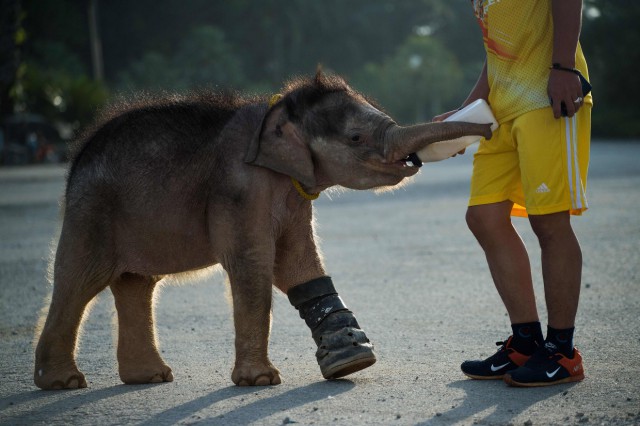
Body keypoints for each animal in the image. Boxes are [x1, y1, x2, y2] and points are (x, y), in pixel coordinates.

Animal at [33, 70, 490, 390]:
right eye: (357, 137)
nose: (488, 127)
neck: (279, 111)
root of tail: (76, 156)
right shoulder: (241, 189)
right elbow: (254, 264)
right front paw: (262, 381)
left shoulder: (293, 191)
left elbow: (297, 264)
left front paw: (353, 360)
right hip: (92, 213)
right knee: (79, 282)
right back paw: (64, 383)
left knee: (135, 284)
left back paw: (151, 378)